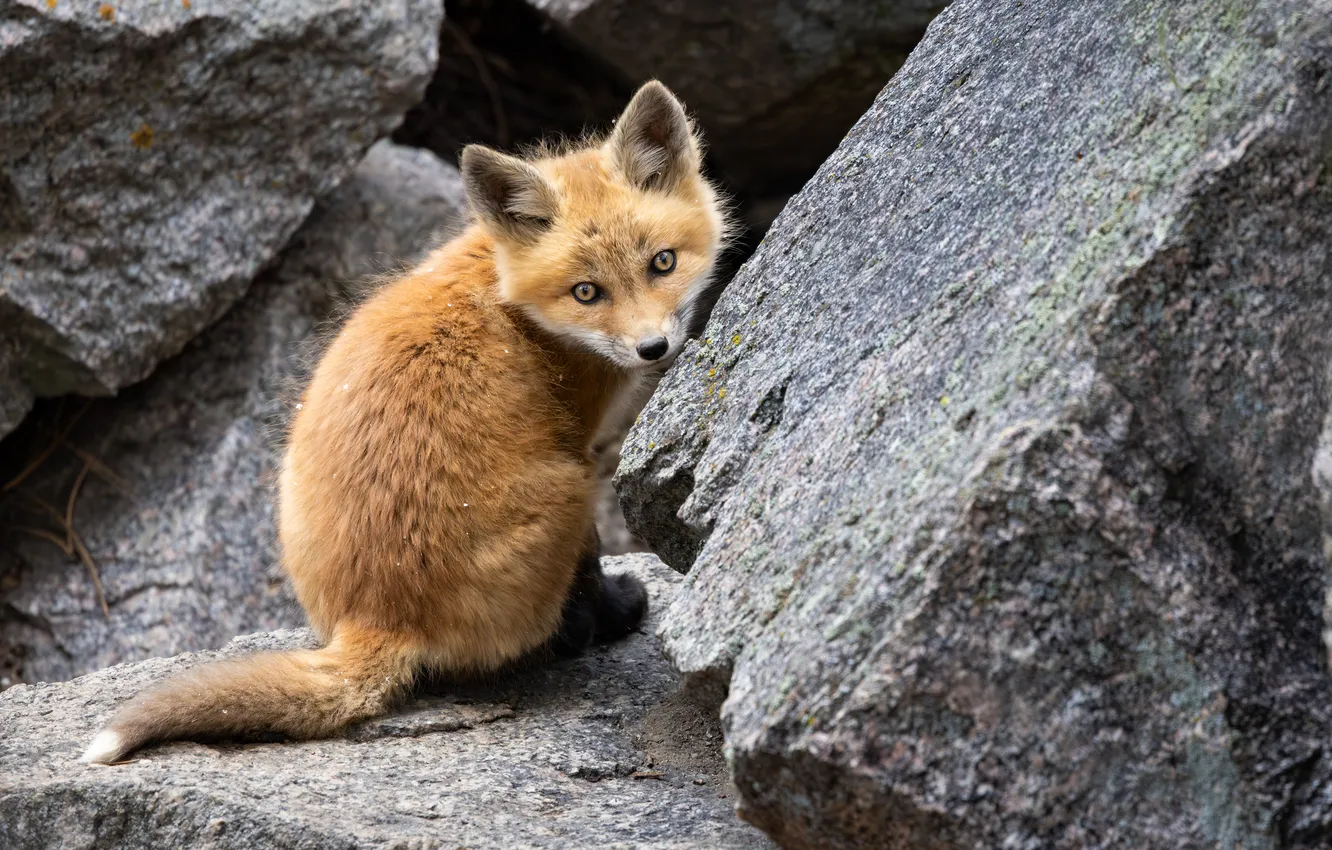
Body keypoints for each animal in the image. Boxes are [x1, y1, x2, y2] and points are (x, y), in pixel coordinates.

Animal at [81, 81, 731, 765]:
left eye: (662, 263)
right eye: (587, 292)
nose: (653, 349)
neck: (510, 295)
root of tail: (378, 613)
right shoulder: (580, 441)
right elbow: (592, 565)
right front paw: (616, 608)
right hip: (571, 490)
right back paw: (590, 627)